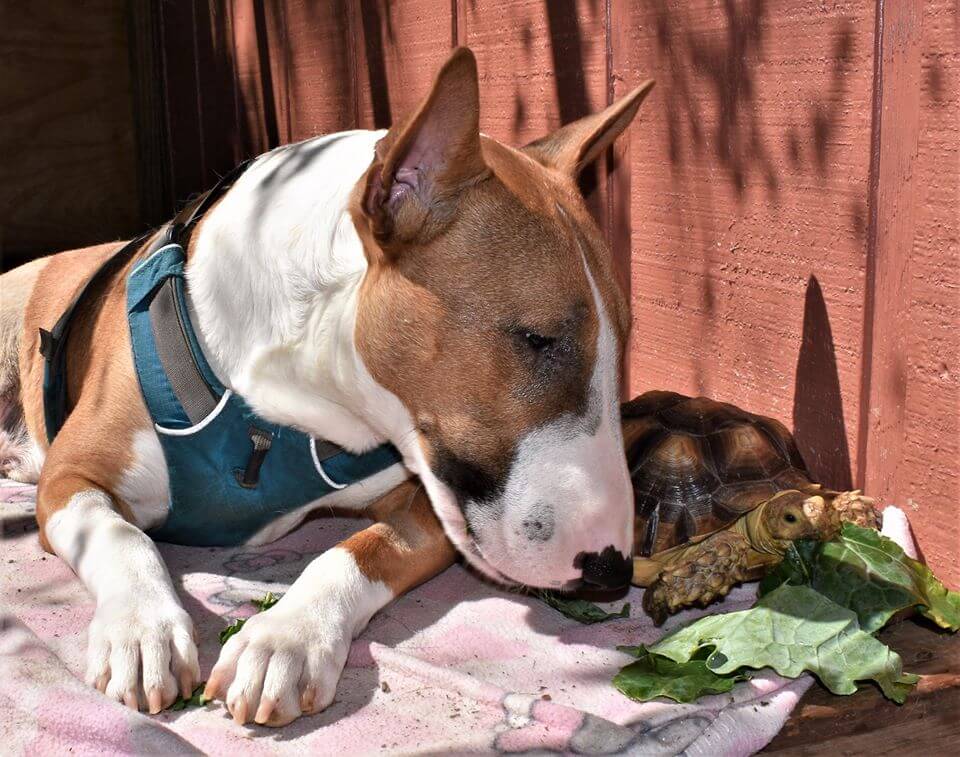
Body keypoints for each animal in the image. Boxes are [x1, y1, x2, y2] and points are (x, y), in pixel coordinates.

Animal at [0, 48, 652, 728]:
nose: (612, 569)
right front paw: (141, 631)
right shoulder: (72, 477)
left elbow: (356, 552)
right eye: (538, 339)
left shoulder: (427, 510)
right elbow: (122, 536)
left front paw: (283, 641)